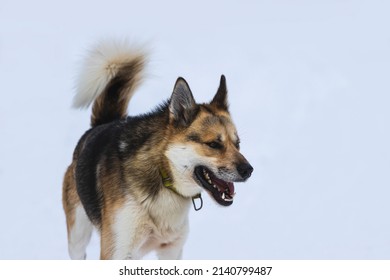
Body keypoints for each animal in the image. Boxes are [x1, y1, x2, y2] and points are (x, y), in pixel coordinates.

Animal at [61, 40, 253, 260]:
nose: (248, 170)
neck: (163, 175)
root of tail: (103, 123)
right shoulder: (117, 251)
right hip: (77, 238)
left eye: (238, 144)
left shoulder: (172, 249)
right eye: (214, 144)